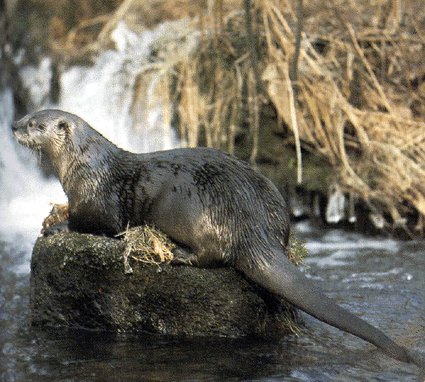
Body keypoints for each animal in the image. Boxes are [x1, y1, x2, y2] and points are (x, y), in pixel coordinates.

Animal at [11, 109, 422, 368]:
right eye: (28, 115)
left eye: (35, 123)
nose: (13, 124)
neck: (85, 164)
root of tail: (253, 227)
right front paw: (52, 216)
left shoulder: (97, 200)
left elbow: (94, 224)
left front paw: (56, 226)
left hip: (195, 211)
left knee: (213, 255)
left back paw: (178, 254)